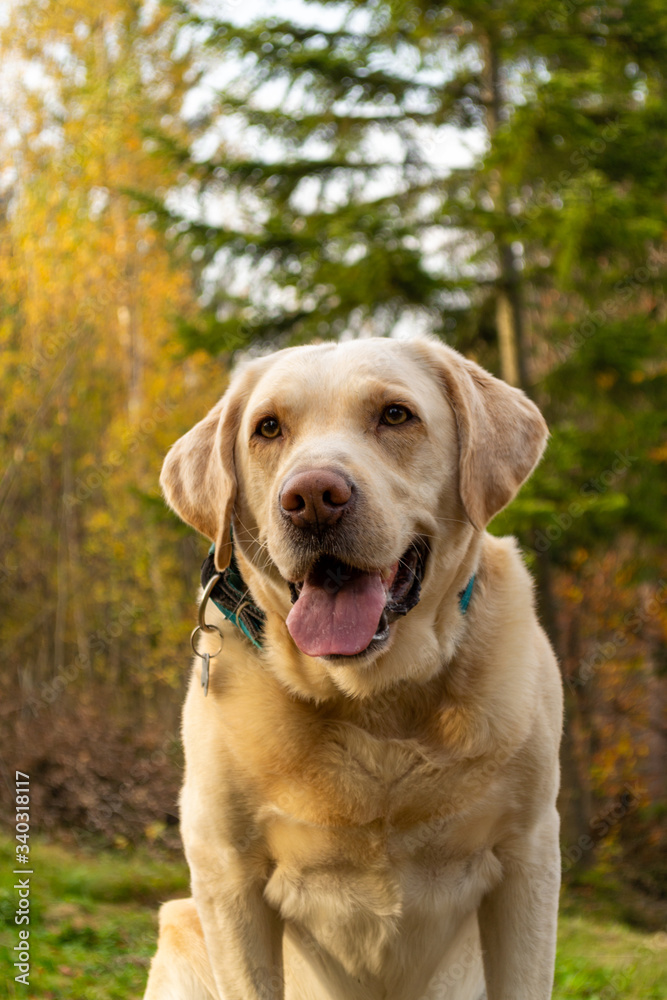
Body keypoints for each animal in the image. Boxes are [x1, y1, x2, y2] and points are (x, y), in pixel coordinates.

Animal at [145, 338, 564, 1000]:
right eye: (268, 428)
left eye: (395, 415)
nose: (312, 498)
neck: (373, 696)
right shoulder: (226, 874)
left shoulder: (529, 855)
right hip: (183, 920)